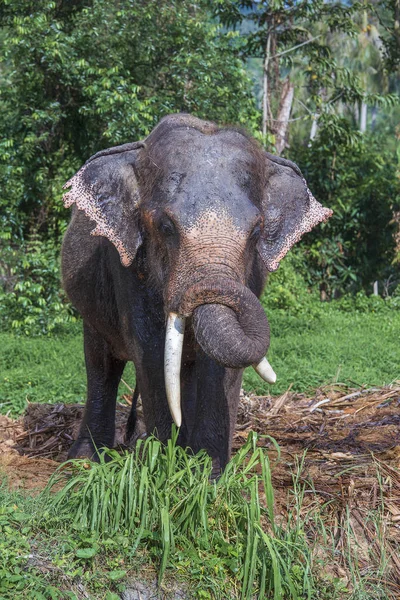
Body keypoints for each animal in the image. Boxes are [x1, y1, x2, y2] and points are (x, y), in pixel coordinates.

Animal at [61, 112, 332, 474]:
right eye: (165, 227)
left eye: (256, 231)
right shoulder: (128, 267)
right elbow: (151, 353)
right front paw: (168, 467)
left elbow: (222, 363)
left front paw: (207, 472)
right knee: (102, 364)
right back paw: (86, 462)